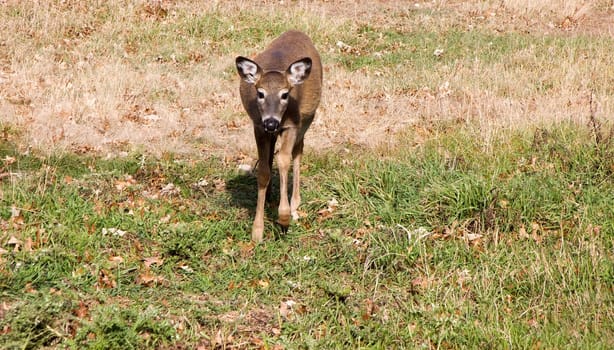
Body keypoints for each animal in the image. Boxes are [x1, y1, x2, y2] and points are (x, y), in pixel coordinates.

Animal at [235, 30, 322, 242]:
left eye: (285, 94)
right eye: (260, 93)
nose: (271, 122)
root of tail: (297, 31)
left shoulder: (291, 125)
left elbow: (283, 159)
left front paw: (283, 217)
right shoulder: (258, 126)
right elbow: (263, 170)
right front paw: (257, 230)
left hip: (307, 119)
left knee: (298, 151)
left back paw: (295, 204)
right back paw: (270, 196)